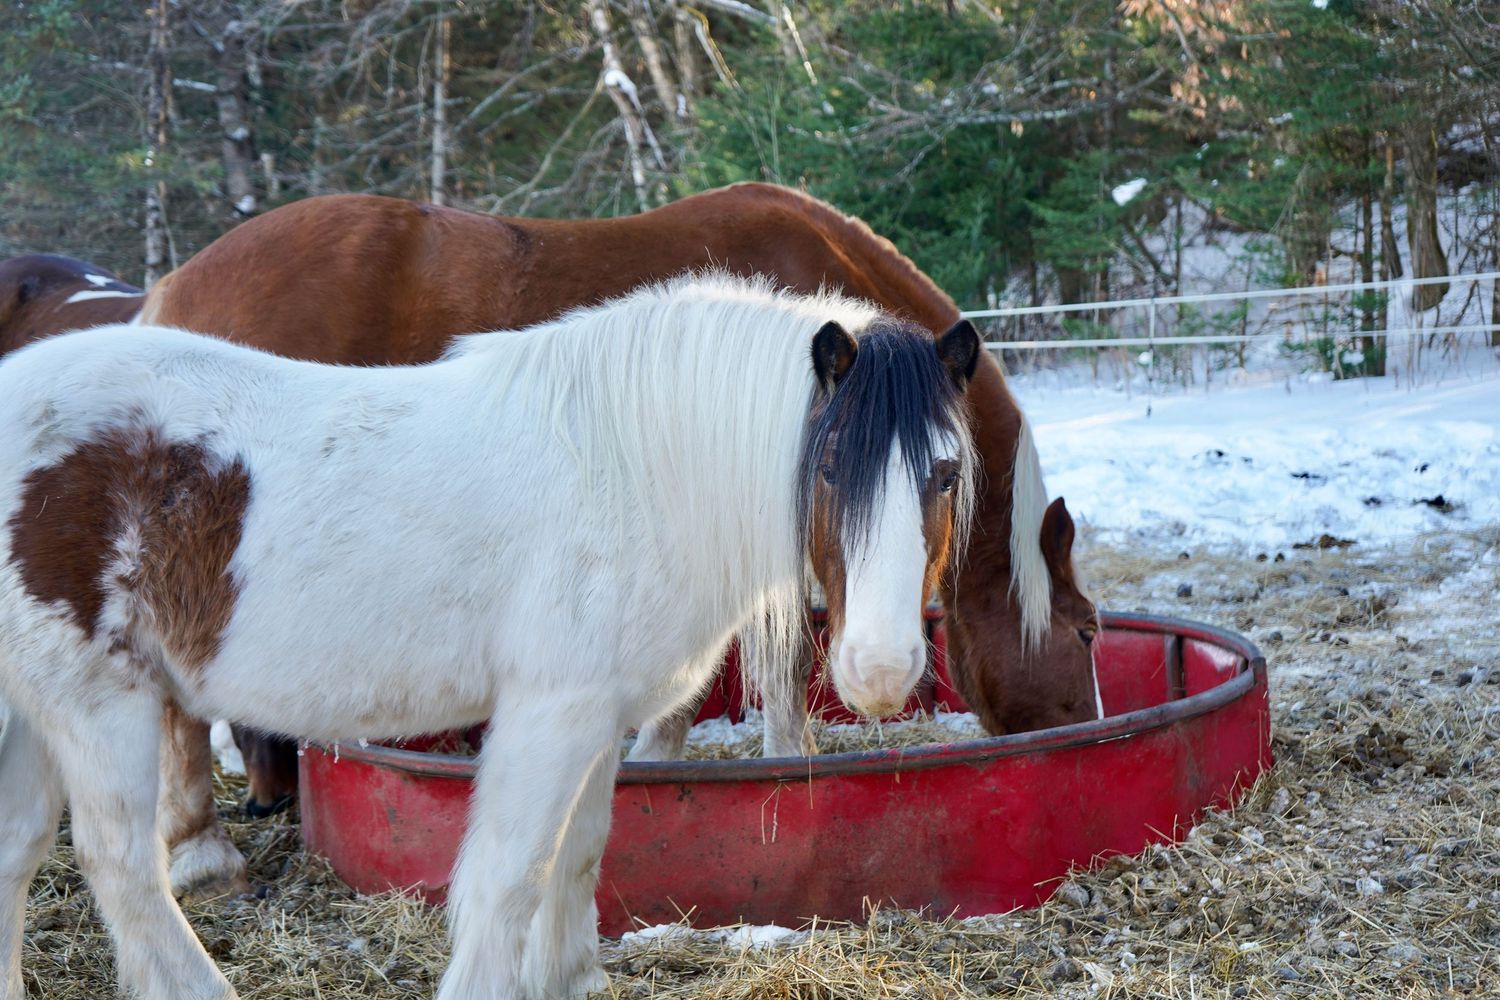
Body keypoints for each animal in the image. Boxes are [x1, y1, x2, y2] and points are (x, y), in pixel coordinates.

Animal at [0, 275, 980, 1000]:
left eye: (945, 473)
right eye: (829, 464)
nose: (881, 670)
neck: (629, 470)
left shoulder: (598, 720)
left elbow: (578, 860)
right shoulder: (552, 714)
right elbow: (512, 876)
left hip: (33, 713)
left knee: (16, 852)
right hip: (94, 705)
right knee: (122, 868)